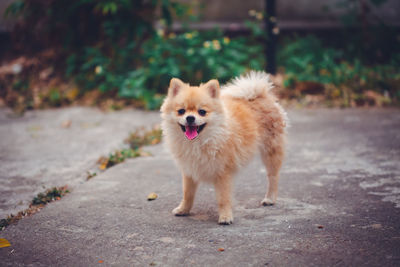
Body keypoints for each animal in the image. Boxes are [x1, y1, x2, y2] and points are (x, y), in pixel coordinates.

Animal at [160, 70, 288, 225]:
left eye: (202, 112)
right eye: (181, 111)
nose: (190, 118)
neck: (200, 142)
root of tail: (259, 94)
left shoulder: (223, 173)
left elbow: (223, 198)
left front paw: (226, 217)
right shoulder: (189, 170)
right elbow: (188, 194)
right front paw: (184, 209)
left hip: (270, 152)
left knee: (273, 177)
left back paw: (270, 198)